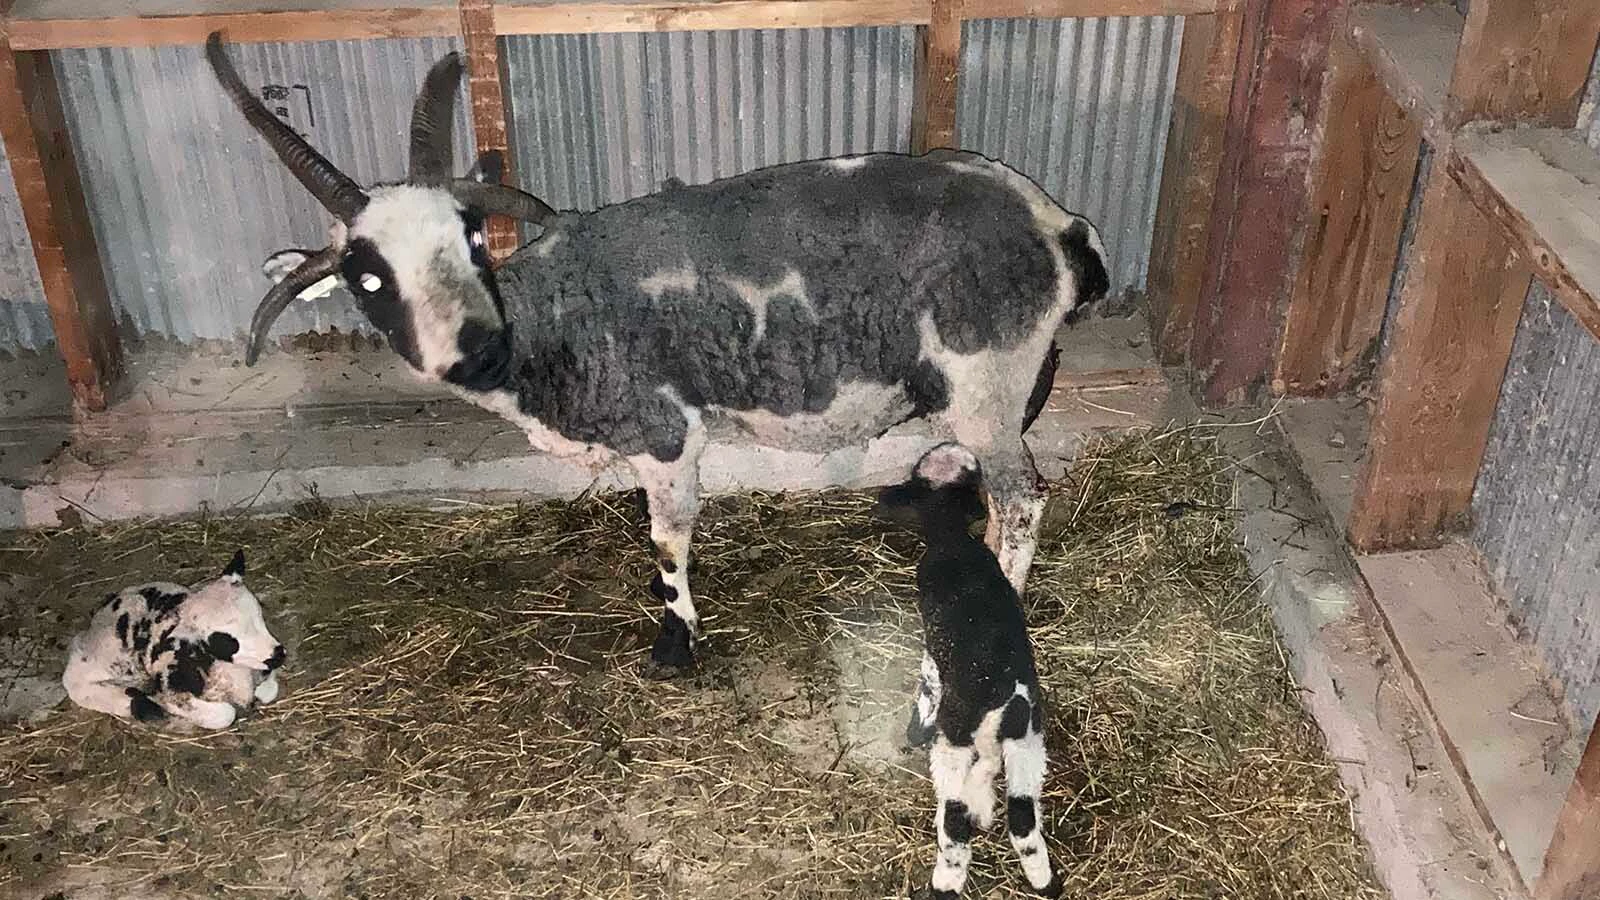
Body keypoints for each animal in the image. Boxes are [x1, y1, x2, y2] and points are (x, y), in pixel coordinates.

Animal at [62, 550, 287, 730]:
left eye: (259, 616)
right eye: (225, 640)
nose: (279, 655)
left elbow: (267, 690)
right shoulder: (171, 684)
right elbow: (225, 714)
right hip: (106, 663)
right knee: (76, 683)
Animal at [204, 32, 1109, 673]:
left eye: (471, 236)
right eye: (365, 275)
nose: (472, 349)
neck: (547, 318)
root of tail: (1053, 222)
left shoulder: (666, 435)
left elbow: (668, 542)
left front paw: (674, 643)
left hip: (988, 385)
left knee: (1022, 504)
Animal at [878, 443, 1060, 899]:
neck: (953, 540)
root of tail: (1000, 701)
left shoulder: (932, 645)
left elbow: (927, 682)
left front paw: (915, 729)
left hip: (955, 745)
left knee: (954, 820)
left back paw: (946, 880)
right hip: (1028, 743)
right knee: (1023, 818)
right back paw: (1046, 881)